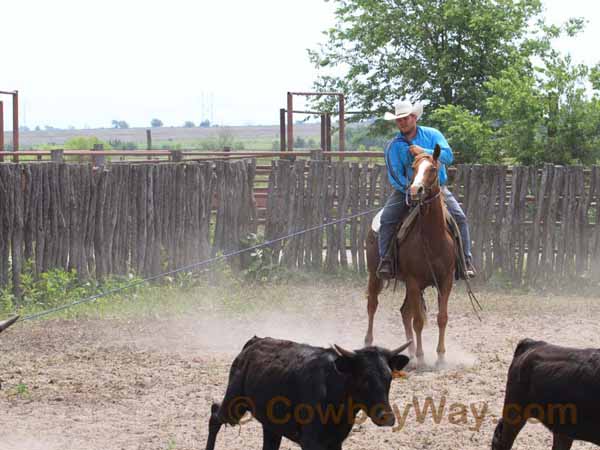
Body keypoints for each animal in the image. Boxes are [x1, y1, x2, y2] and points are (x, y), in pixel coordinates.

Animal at [204, 336, 410, 448]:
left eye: (389, 377)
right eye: (364, 378)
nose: (387, 417)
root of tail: (253, 342)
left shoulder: (335, 442)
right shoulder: (311, 441)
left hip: (271, 425)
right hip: (234, 403)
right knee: (215, 414)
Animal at [366, 146, 454, 368]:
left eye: (433, 168)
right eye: (413, 168)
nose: (415, 191)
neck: (432, 239)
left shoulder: (446, 281)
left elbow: (442, 317)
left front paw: (441, 356)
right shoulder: (414, 281)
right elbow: (419, 321)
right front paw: (422, 358)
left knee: (404, 312)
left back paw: (411, 351)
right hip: (374, 275)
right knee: (372, 305)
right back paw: (369, 342)